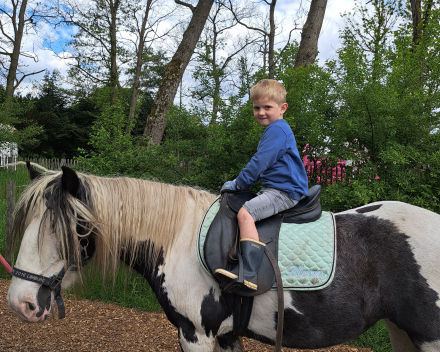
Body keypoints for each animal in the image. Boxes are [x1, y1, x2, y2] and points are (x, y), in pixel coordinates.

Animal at [6, 166, 440, 352]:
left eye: (66, 229)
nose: (19, 303)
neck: (178, 239)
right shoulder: (227, 335)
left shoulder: (196, 333)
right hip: (403, 333)